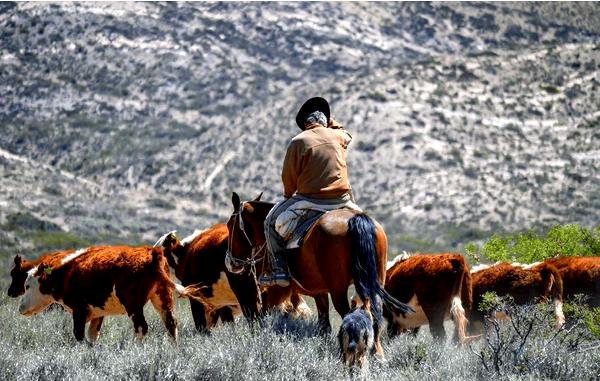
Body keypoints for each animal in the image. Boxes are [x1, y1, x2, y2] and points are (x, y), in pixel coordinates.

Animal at [19, 246, 192, 342]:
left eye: (27, 286)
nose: (20, 308)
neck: (67, 271)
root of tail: (152, 253)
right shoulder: (98, 313)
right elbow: (93, 335)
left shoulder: (79, 310)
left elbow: (79, 334)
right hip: (163, 297)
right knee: (171, 324)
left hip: (133, 304)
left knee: (141, 327)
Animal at [225, 191, 412, 358]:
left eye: (230, 225)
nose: (230, 262)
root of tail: (355, 220)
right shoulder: (320, 293)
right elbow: (324, 325)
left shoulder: (277, 291)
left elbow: (263, 314)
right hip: (373, 282)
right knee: (374, 313)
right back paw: (377, 354)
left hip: (338, 290)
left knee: (349, 315)